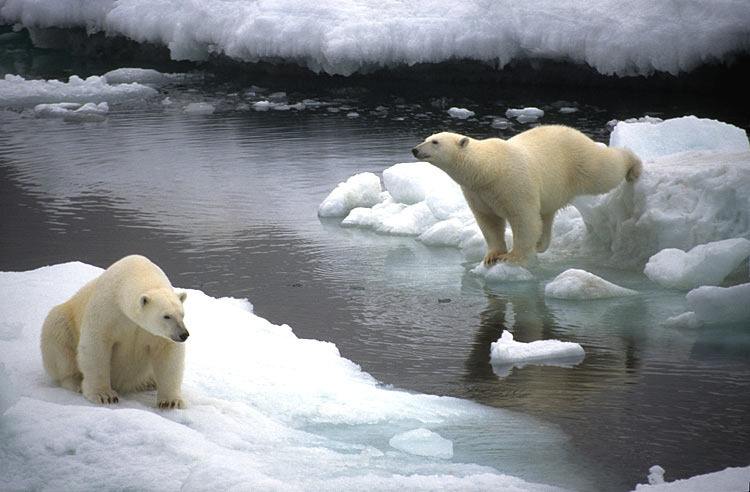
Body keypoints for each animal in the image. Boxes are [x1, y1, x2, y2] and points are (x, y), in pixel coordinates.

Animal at [40, 254, 191, 408]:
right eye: (166, 316)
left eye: (182, 314)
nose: (183, 334)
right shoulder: (107, 311)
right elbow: (96, 346)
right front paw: (104, 395)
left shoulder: (156, 333)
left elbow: (168, 353)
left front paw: (171, 401)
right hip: (63, 321)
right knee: (59, 340)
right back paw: (76, 382)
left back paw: (149, 382)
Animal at [414, 127, 644, 266]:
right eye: (426, 139)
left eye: (435, 142)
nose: (415, 150)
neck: (488, 169)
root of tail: (577, 133)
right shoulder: (477, 192)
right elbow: (488, 222)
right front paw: (492, 256)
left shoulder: (512, 184)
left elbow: (523, 218)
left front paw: (513, 257)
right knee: (546, 215)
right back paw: (541, 244)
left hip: (579, 162)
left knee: (604, 171)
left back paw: (633, 166)